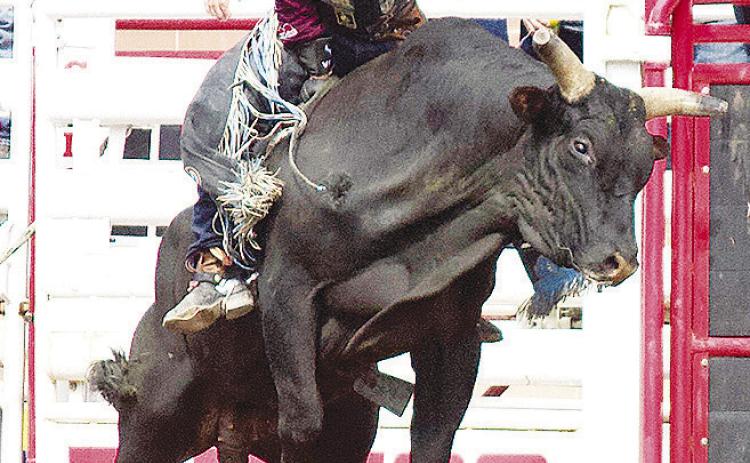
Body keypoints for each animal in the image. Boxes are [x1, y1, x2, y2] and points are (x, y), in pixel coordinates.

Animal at [90, 18, 726, 463]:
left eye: (645, 165)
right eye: (581, 146)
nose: (620, 261)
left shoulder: (452, 335)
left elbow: (434, 437)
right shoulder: (288, 294)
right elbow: (302, 421)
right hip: (154, 416)